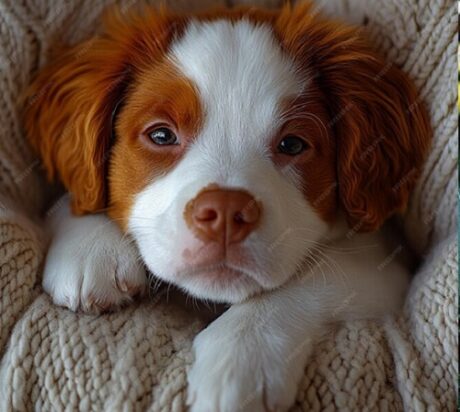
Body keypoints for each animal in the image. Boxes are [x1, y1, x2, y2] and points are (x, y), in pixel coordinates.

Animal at [22, 1, 432, 410]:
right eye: (161, 135)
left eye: (293, 144)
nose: (224, 214)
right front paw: (90, 246)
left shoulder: (385, 265)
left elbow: (320, 275)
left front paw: (241, 358)